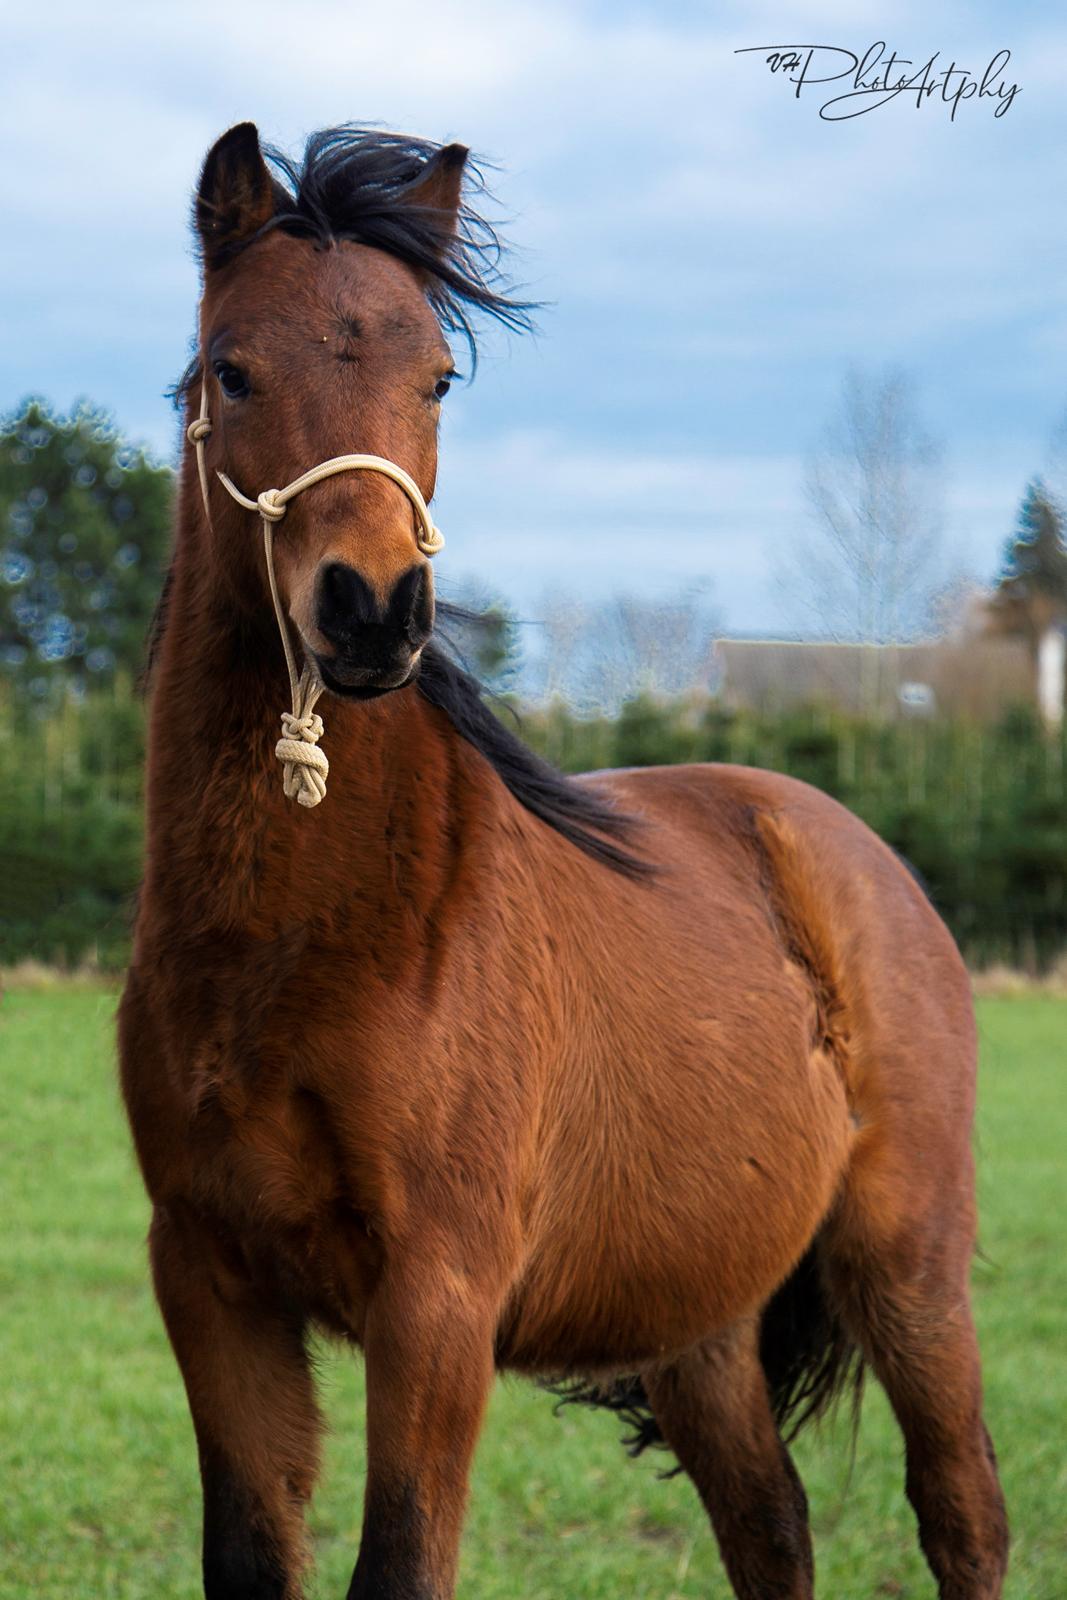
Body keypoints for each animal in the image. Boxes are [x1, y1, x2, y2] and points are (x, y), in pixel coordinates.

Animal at [119, 124, 1011, 1600]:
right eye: (233, 369)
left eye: (436, 376)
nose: (373, 611)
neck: (310, 935)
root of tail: (842, 845)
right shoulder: (211, 1284)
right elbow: (252, 1559)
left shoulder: (436, 1303)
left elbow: (399, 1564)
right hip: (702, 1315)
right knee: (768, 1525)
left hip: (907, 1263)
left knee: (960, 1513)